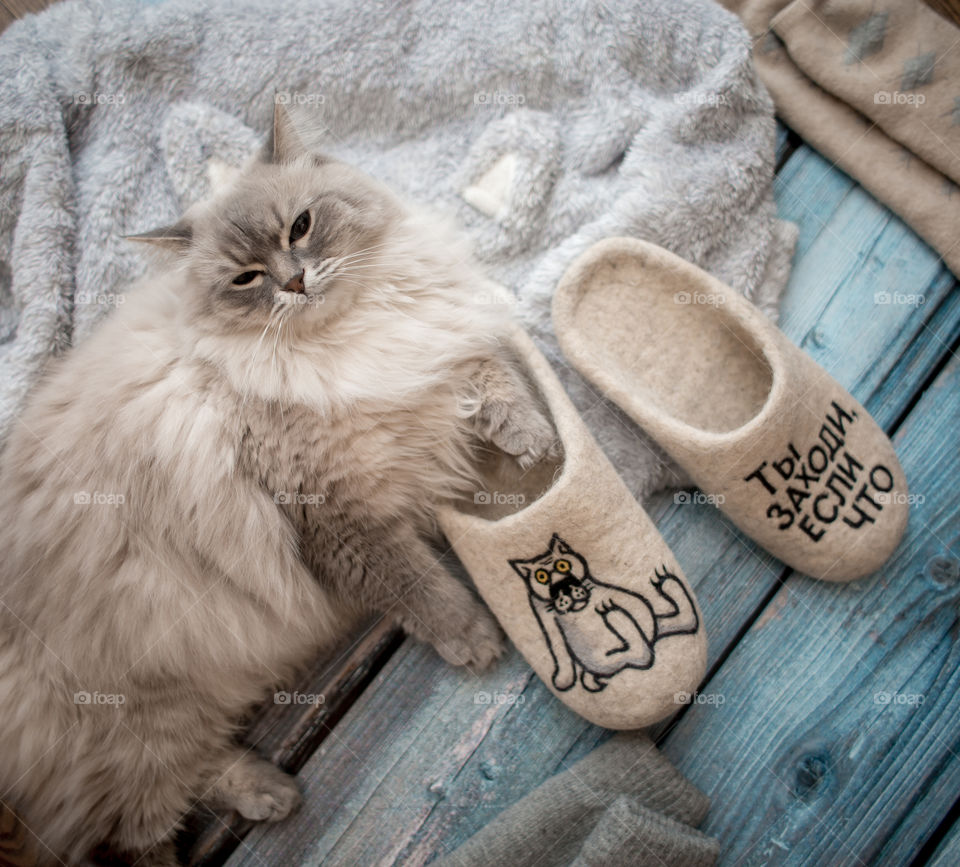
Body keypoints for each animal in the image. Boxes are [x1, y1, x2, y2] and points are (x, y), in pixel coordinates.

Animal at [0, 103, 556, 867]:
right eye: (246, 279)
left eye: (301, 227)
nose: (294, 281)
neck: (350, 334)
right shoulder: (332, 516)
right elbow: (419, 588)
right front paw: (474, 641)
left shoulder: (434, 364)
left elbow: (495, 383)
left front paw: (534, 442)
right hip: (144, 719)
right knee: (133, 829)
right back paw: (269, 798)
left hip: (180, 714)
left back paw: (271, 794)